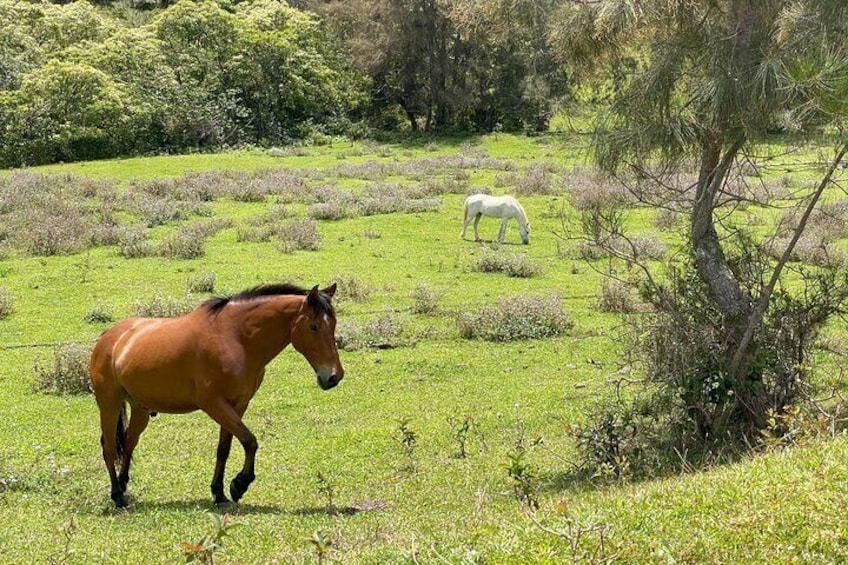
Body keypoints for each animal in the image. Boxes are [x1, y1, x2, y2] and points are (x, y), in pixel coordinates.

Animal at [91, 282, 342, 506]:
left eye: (333, 325)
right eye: (314, 326)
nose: (334, 376)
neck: (236, 338)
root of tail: (110, 337)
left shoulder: (238, 405)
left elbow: (225, 448)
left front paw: (219, 493)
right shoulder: (214, 404)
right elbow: (250, 440)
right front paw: (240, 484)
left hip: (140, 408)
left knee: (129, 442)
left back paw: (123, 485)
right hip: (109, 404)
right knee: (109, 447)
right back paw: (117, 495)